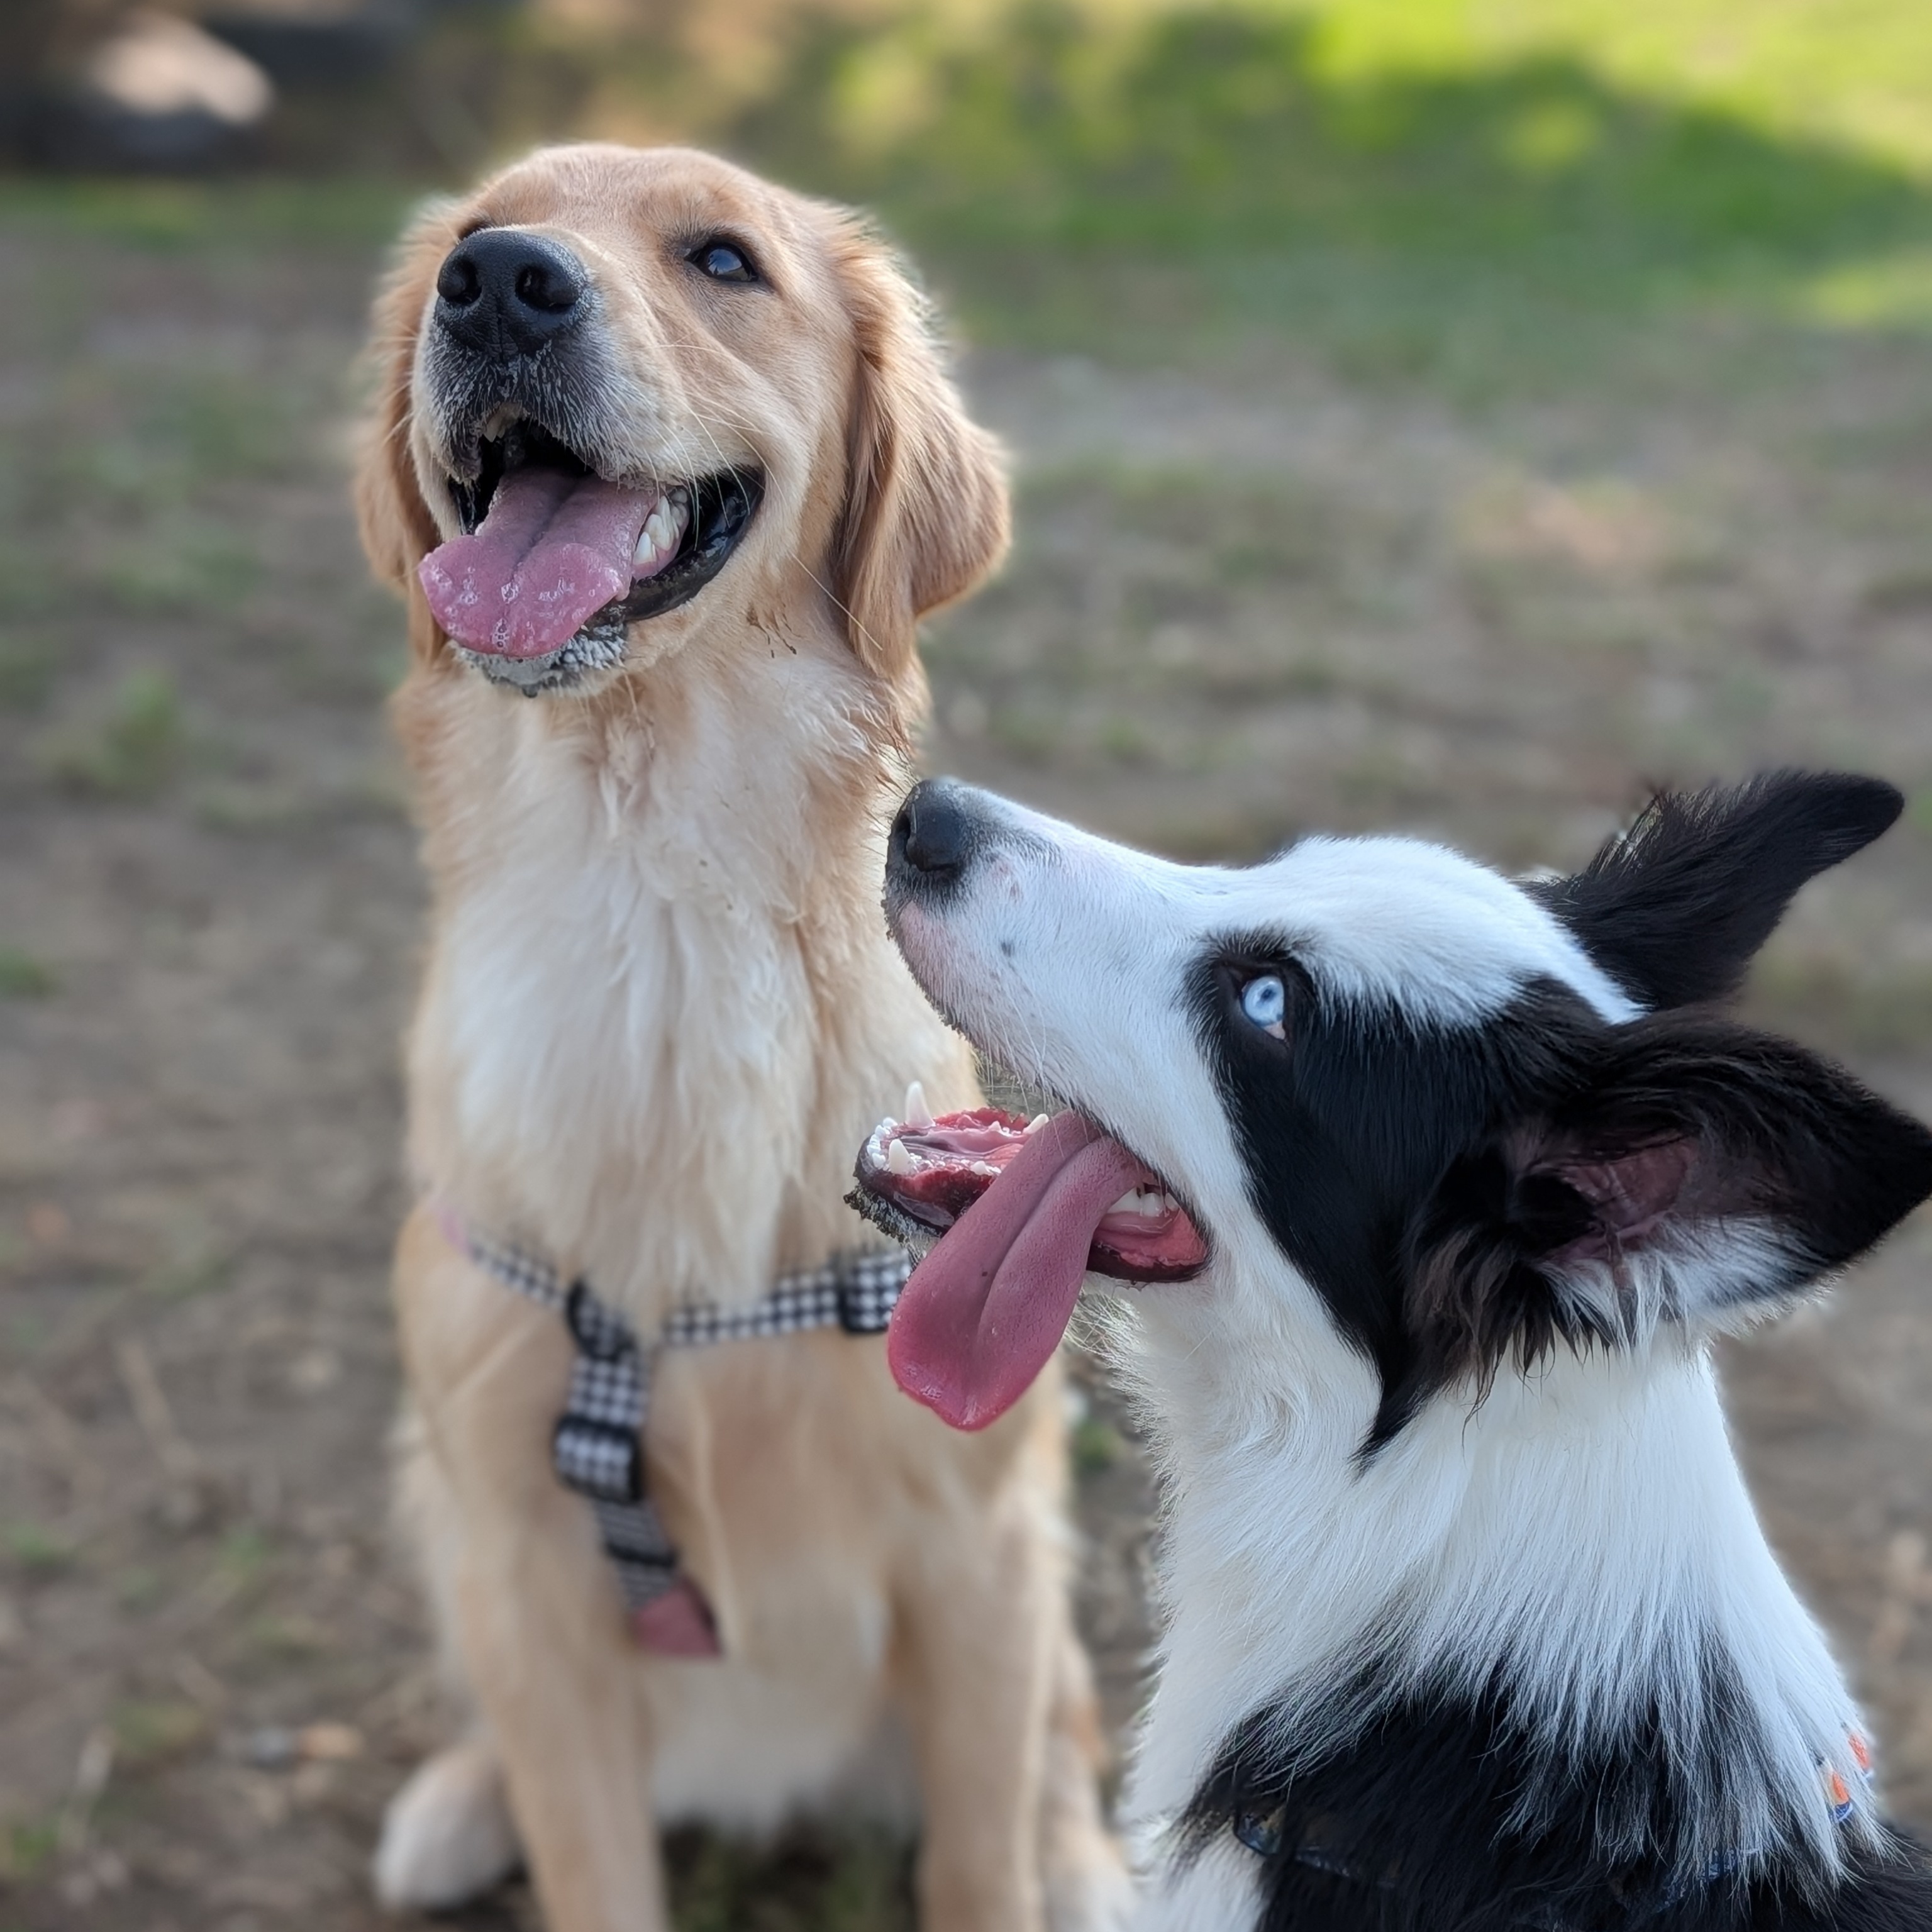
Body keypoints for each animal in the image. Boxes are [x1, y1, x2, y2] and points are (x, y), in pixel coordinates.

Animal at [353, 140, 1128, 1932]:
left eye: (721, 259)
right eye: (475, 229)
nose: (498, 286)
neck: (658, 899)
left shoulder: (975, 1542)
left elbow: (980, 1857)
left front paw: (1034, 1861)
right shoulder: (524, 1562)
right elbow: (588, 1859)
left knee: (1062, 1746)